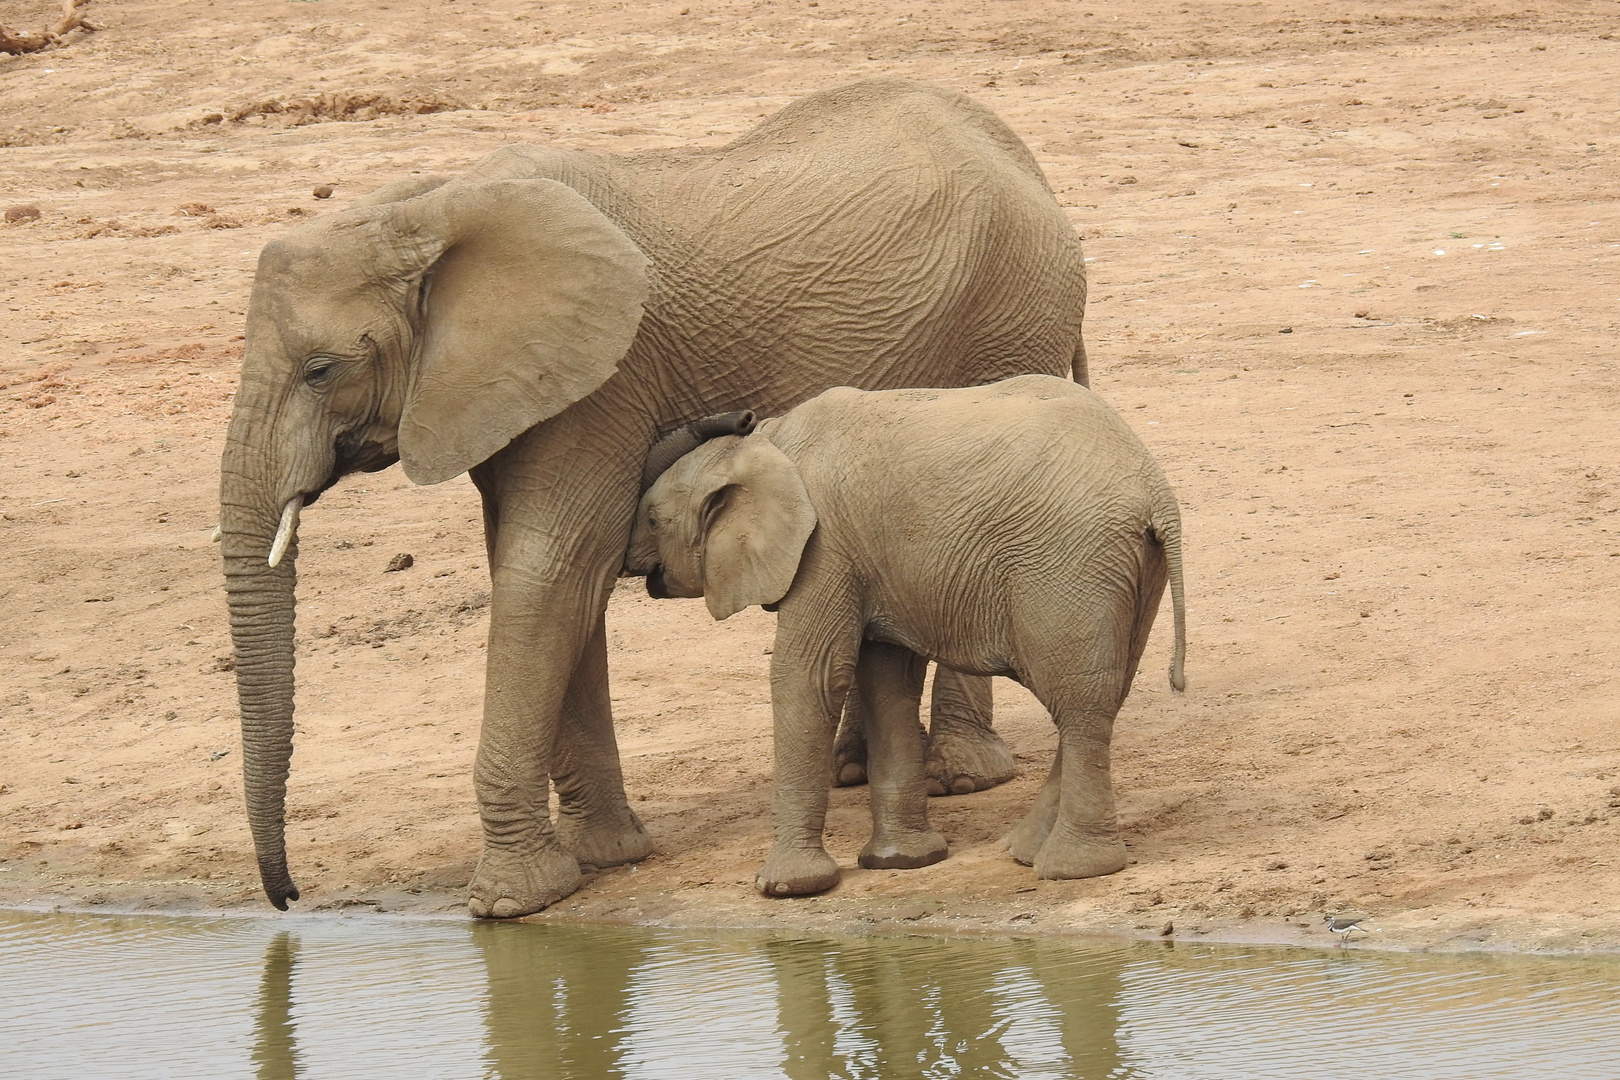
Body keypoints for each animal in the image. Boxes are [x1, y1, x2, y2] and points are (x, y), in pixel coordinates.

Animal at [225, 80, 1088, 919]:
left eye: (321, 371)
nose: (288, 898)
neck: (429, 207)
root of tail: (1023, 160)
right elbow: (544, 580)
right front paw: (605, 858)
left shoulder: (604, 378)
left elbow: (553, 572)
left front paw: (512, 903)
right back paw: (855, 768)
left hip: (1009, 317)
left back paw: (960, 777)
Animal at [625, 375, 1185, 900]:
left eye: (652, 519)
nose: (741, 415)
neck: (766, 443)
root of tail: (1156, 494)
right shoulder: (869, 560)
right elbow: (886, 680)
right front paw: (904, 862)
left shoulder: (824, 548)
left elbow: (810, 678)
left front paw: (786, 887)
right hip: (1128, 568)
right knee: (1102, 695)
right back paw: (1027, 851)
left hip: (1070, 564)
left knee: (1079, 701)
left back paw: (1071, 868)